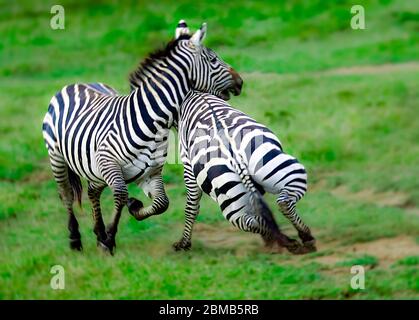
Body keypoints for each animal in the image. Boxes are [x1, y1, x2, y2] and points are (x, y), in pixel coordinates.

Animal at [41, 20, 244, 255]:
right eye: (213, 60)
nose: (241, 82)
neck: (152, 122)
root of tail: (76, 84)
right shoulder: (110, 165)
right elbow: (120, 196)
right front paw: (109, 239)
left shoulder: (150, 171)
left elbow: (162, 203)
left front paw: (133, 209)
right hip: (57, 157)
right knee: (66, 194)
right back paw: (75, 238)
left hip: (93, 168)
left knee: (92, 192)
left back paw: (98, 232)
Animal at [173, 91, 316, 254]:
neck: (193, 95)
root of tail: (234, 155)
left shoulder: (188, 168)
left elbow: (191, 207)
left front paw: (184, 243)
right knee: (273, 208)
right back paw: (298, 239)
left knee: (258, 216)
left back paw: (294, 239)